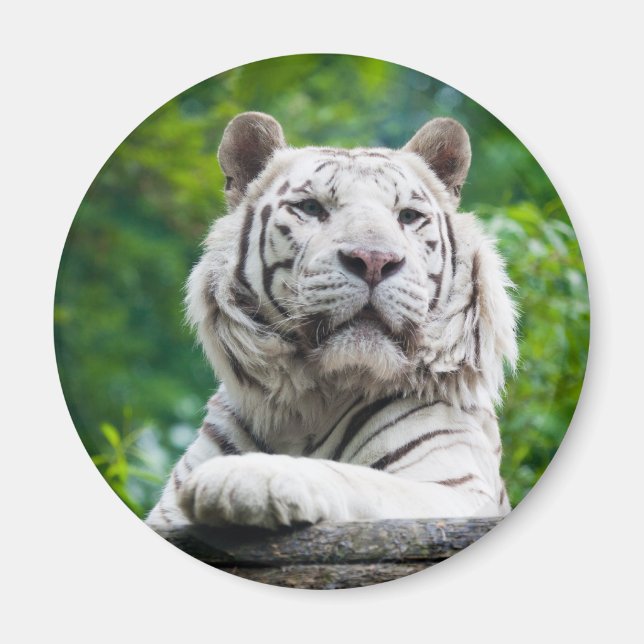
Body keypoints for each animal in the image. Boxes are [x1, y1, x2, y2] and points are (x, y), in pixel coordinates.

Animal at [146, 111, 518, 533]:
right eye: (310, 207)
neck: (308, 407)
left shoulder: (454, 486)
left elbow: (354, 477)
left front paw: (241, 478)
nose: (373, 260)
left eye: (407, 216)